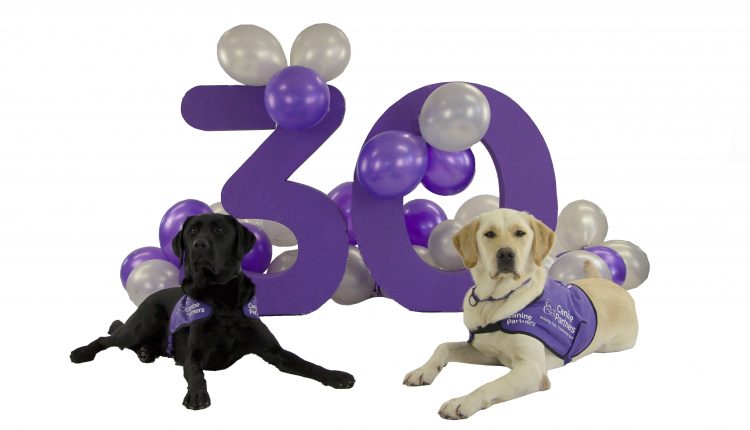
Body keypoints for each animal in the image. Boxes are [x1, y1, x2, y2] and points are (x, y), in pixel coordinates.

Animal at [70, 213, 356, 408]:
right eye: (192, 231)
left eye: (219, 229)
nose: (199, 245)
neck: (222, 298)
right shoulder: (193, 356)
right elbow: (196, 374)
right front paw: (197, 394)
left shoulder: (275, 352)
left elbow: (306, 363)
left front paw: (336, 376)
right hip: (145, 322)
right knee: (107, 339)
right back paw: (83, 352)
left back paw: (145, 353)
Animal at [406, 209, 640, 420]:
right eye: (489, 234)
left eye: (520, 233)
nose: (506, 254)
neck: (496, 300)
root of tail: (612, 284)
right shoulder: (488, 353)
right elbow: (443, 345)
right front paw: (422, 371)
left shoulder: (532, 370)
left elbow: (490, 384)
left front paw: (462, 402)